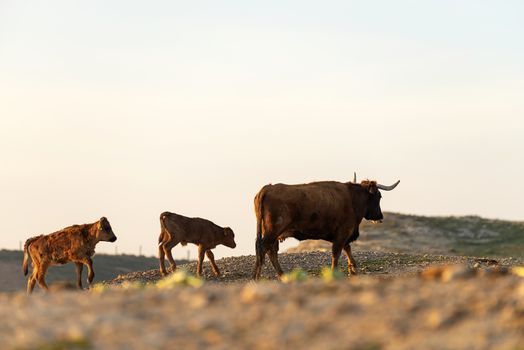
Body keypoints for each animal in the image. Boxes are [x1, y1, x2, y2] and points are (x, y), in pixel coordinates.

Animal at [252, 176, 400, 280]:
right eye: (379, 196)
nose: (380, 216)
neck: (352, 198)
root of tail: (267, 188)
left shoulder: (343, 234)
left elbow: (347, 249)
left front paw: (352, 269)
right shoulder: (343, 232)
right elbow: (337, 252)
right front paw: (337, 271)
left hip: (271, 233)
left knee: (271, 251)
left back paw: (281, 276)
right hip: (272, 231)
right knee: (264, 249)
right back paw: (256, 277)